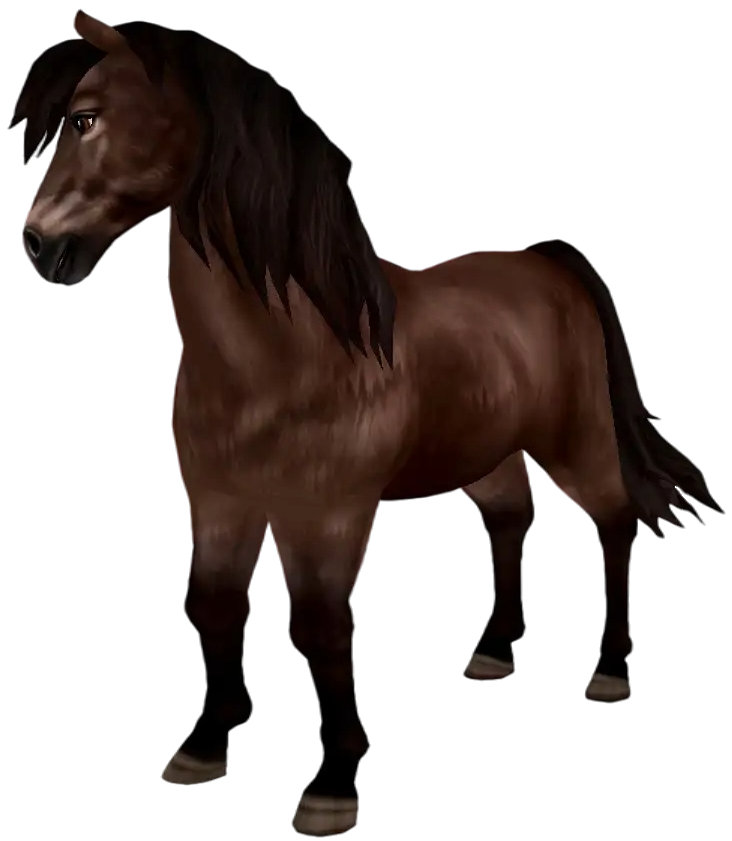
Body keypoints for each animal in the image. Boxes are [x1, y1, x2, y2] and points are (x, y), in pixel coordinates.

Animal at [12, 11, 721, 836]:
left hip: (577, 445)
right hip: (487, 456)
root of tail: (548, 266)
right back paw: (492, 653)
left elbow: (322, 627)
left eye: (85, 118)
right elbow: (215, 605)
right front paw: (204, 745)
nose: (39, 243)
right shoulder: (220, 500)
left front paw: (332, 783)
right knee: (510, 520)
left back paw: (608, 669)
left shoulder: (328, 514)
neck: (291, 352)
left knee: (612, 522)